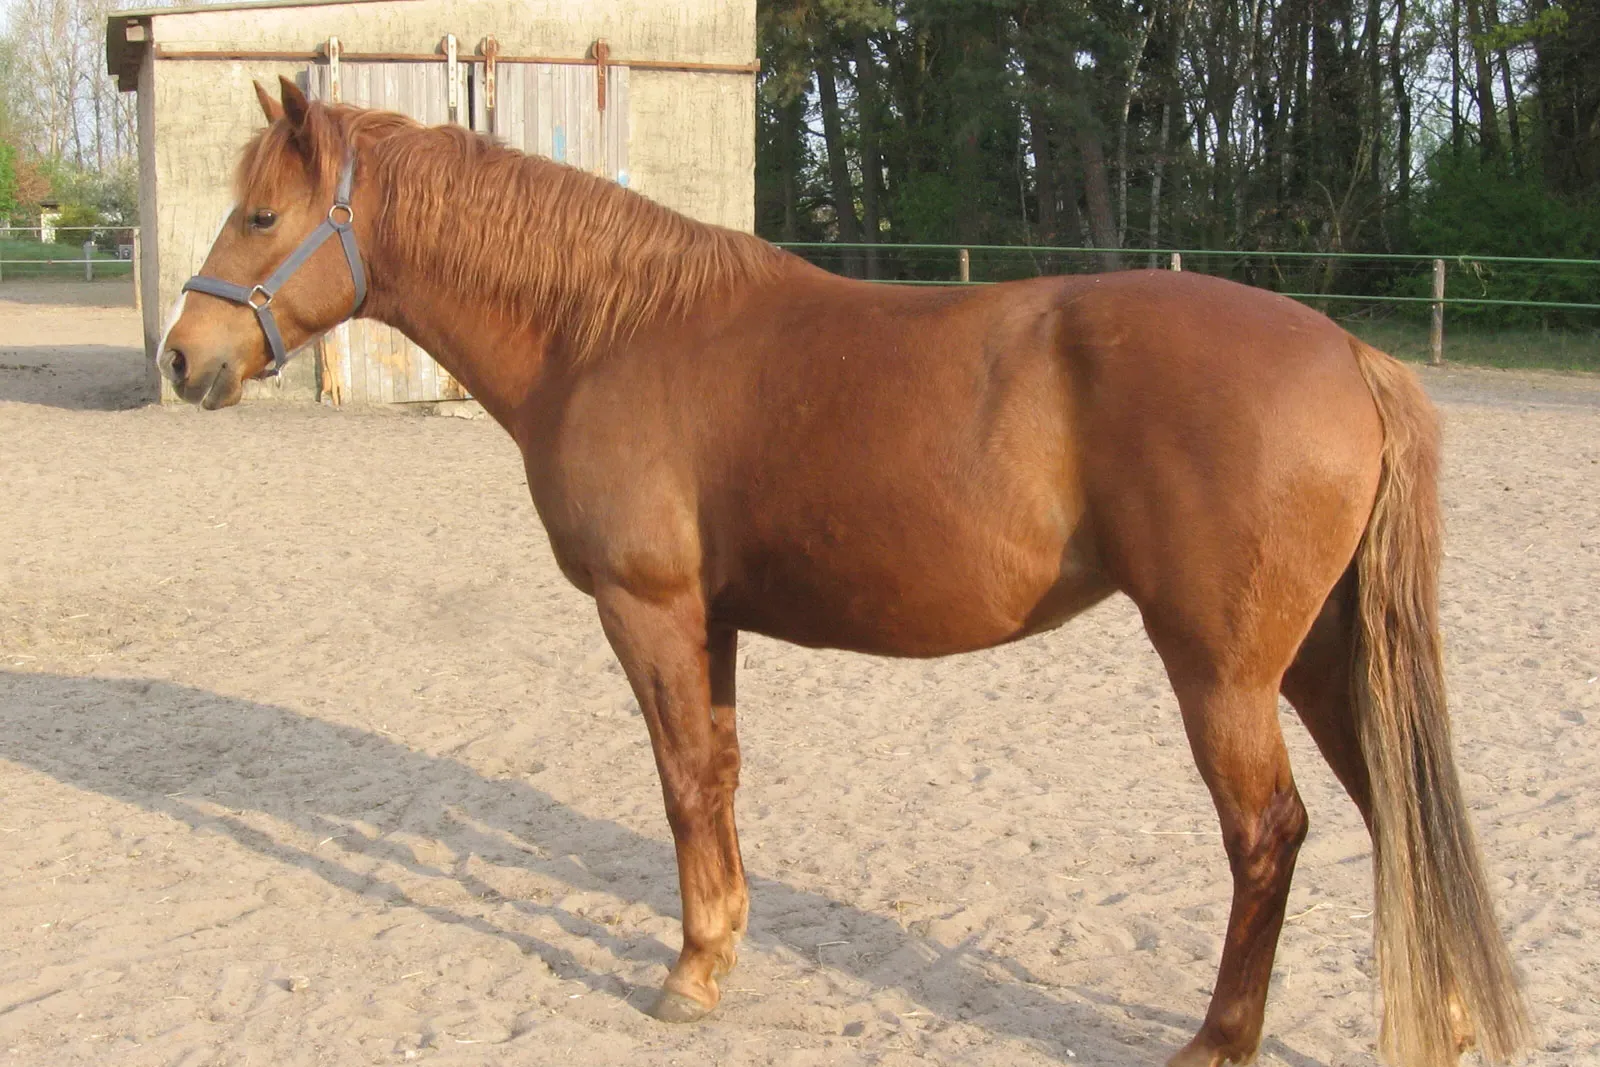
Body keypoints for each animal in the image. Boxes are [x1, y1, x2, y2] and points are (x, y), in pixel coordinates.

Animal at [157, 77, 1529, 1067]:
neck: (608, 326)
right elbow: (716, 776)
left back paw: (1219, 1038)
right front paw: (722, 942)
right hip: (1323, 656)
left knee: (1269, 833)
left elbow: (679, 784)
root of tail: (1347, 352)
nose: (182, 356)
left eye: (263, 217)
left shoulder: (647, 611)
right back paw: (1449, 1018)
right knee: (1398, 810)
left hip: (1225, 672)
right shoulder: (708, 622)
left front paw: (688, 972)